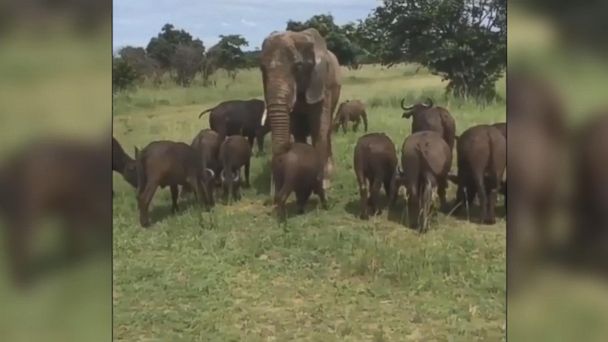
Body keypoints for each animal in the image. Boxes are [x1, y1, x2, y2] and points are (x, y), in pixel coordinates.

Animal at [258, 27, 340, 191]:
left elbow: (319, 127)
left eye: (298, 66)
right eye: (262, 68)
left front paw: (323, 184)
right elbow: (297, 129)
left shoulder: (322, 82)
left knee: (327, 129)